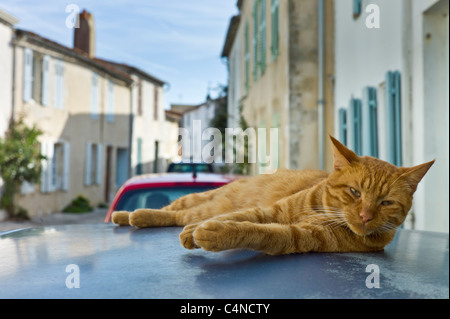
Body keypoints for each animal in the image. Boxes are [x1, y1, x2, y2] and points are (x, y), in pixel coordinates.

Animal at [111, 136, 432, 256]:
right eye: (355, 192)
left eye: (386, 203)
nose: (365, 216)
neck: (325, 210)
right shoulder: (270, 211)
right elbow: (240, 216)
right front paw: (198, 231)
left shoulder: (300, 236)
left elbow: (258, 232)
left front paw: (216, 234)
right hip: (199, 203)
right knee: (177, 211)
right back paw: (127, 215)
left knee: (178, 214)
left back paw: (132, 217)